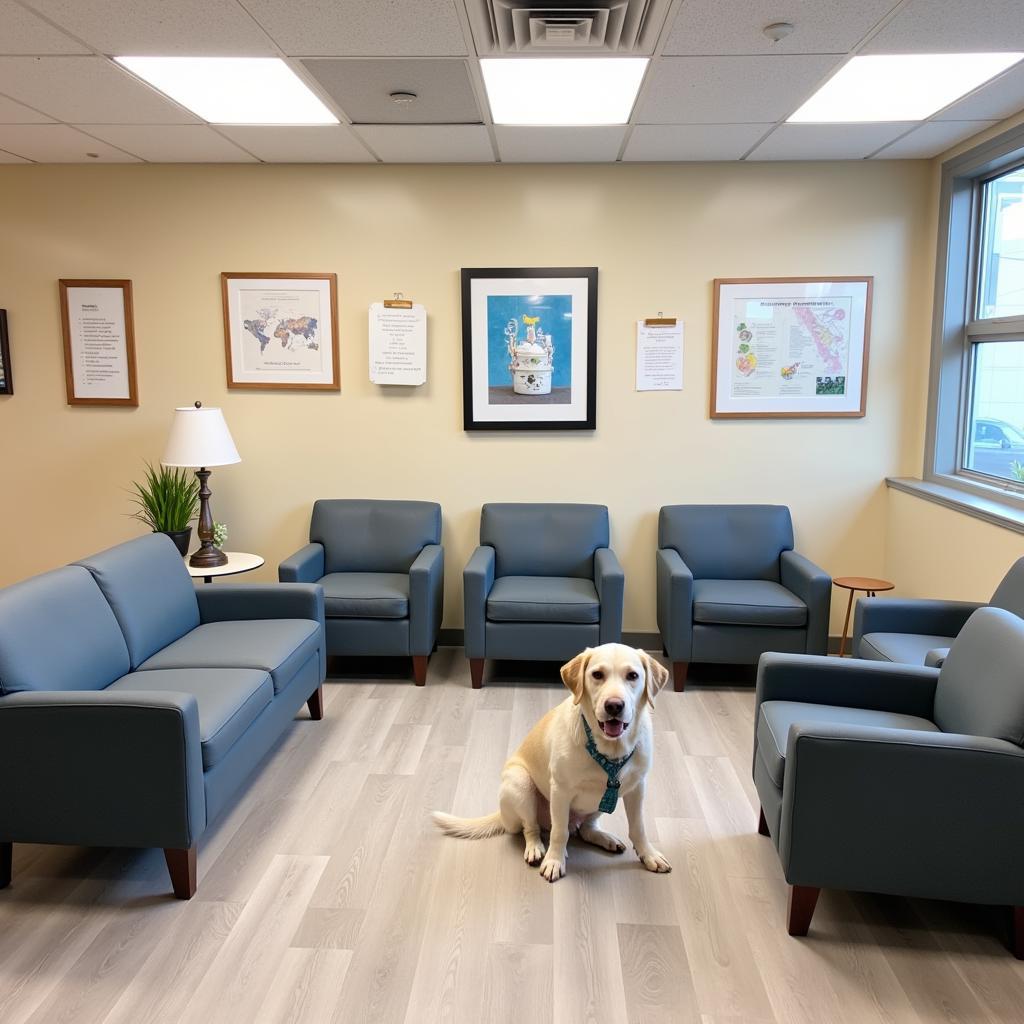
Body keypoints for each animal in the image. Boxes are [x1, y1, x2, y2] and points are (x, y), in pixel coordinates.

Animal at [434, 647, 667, 880]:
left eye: (633, 676)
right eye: (597, 674)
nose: (614, 706)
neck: (609, 750)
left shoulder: (637, 788)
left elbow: (638, 827)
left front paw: (649, 855)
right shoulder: (561, 790)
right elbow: (559, 832)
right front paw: (554, 860)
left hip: (605, 801)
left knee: (586, 828)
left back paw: (605, 838)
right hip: (520, 785)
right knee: (533, 827)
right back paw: (536, 848)